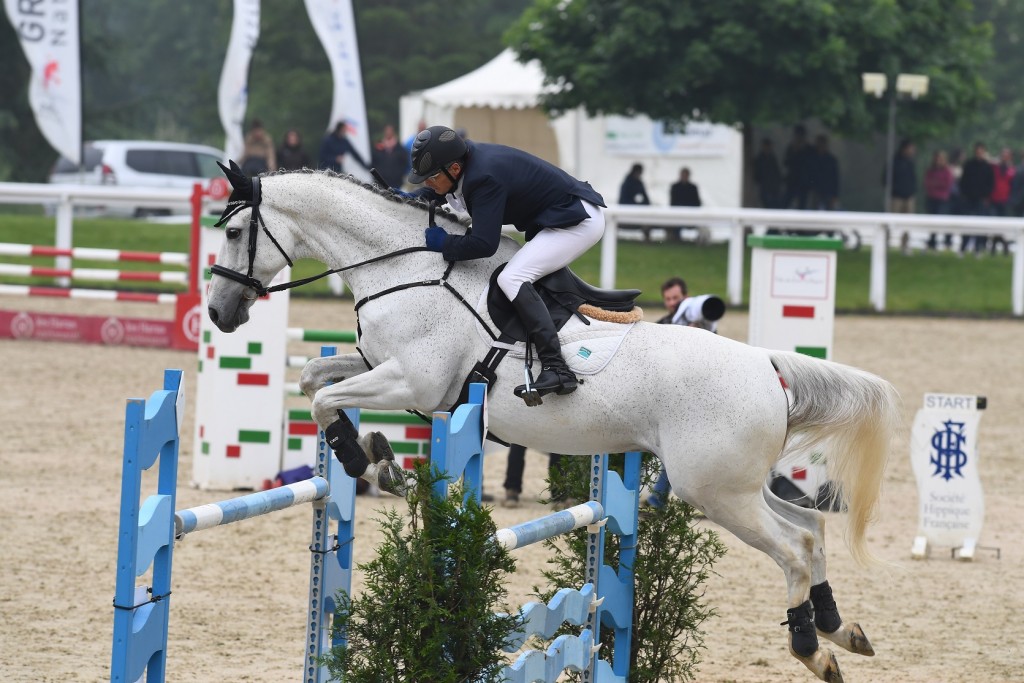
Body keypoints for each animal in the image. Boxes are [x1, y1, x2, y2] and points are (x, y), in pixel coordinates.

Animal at [205, 166, 897, 683]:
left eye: (235, 230)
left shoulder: (414, 381)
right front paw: (380, 457)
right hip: (735, 484)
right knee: (810, 531)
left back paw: (812, 648)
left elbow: (326, 400)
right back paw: (842, 628)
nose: (218, 313)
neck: (404, 269)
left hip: (714, 489)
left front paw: (364, 459)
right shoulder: (384, 368)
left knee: (792, 548)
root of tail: (768, 367)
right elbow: (313, 380)